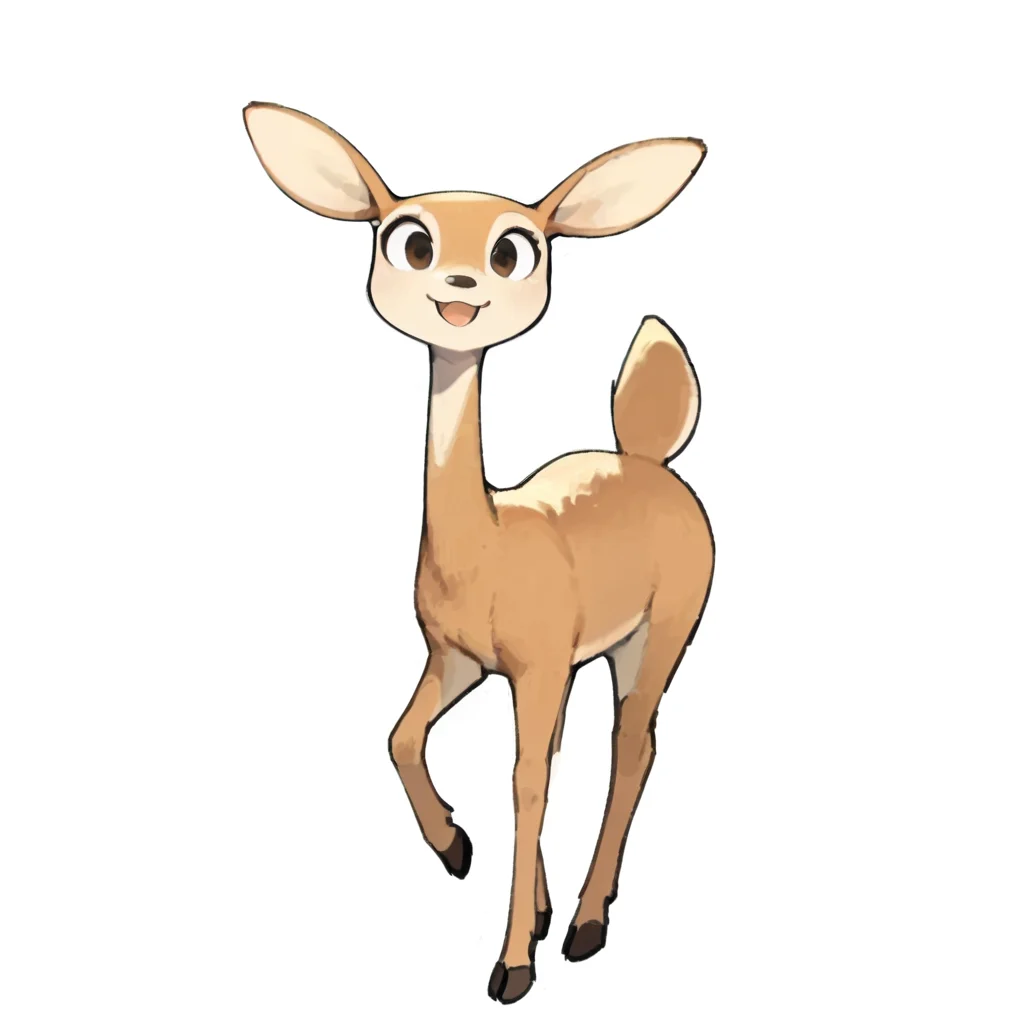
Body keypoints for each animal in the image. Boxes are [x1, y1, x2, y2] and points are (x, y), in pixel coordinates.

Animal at [242, 102, 715, 1004]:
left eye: (513, 249)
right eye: (409, 240)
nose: (459, 295)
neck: (486, 547)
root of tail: (646, 456)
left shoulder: (532, 668)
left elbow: (526, 784)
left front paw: (513, 966)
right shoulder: (462, 660)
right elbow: (401, 737)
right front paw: (455, 849)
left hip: (657, 636)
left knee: (632, 744)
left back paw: (587, 925)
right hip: (576, 662)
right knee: (579, 748)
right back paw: (554, 910)